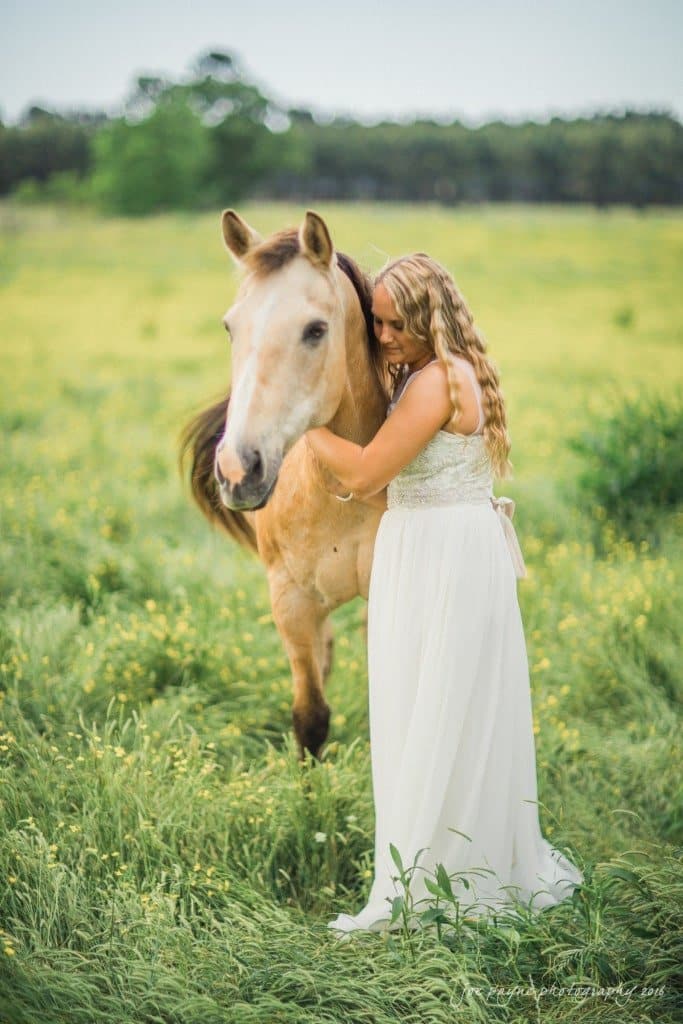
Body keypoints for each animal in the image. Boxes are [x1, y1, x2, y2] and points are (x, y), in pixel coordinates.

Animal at [181, 210, 389, 760]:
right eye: (230, 327)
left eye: (315, 330)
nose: (237, 470)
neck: (343, 488)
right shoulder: (291, 602)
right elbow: (310, 717)